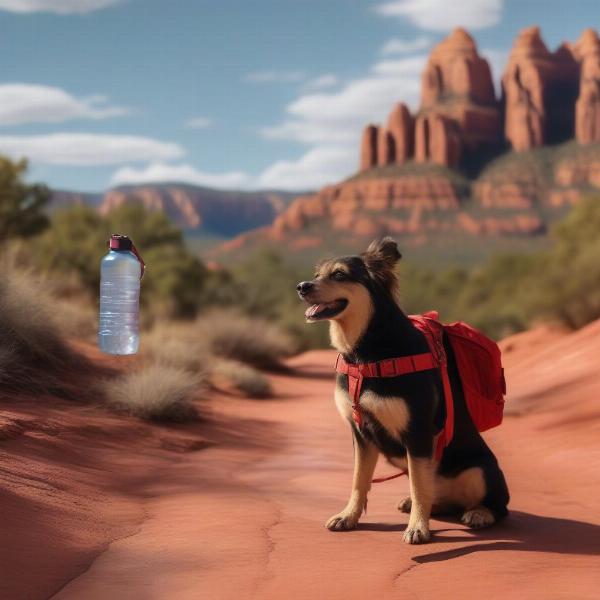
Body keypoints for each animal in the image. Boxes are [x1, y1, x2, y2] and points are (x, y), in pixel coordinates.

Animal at [298, 238, 508, 544]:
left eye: (339, 275)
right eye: (316, 275)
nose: (301, 287)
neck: (365, 350)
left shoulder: (417, 431)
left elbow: (420, 487)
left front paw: (418, 528)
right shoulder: (360, 434)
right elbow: (359, 480)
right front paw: (348, 516)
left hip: (480, 470)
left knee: (497, 505)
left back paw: (479, 513)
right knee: (440, 499)